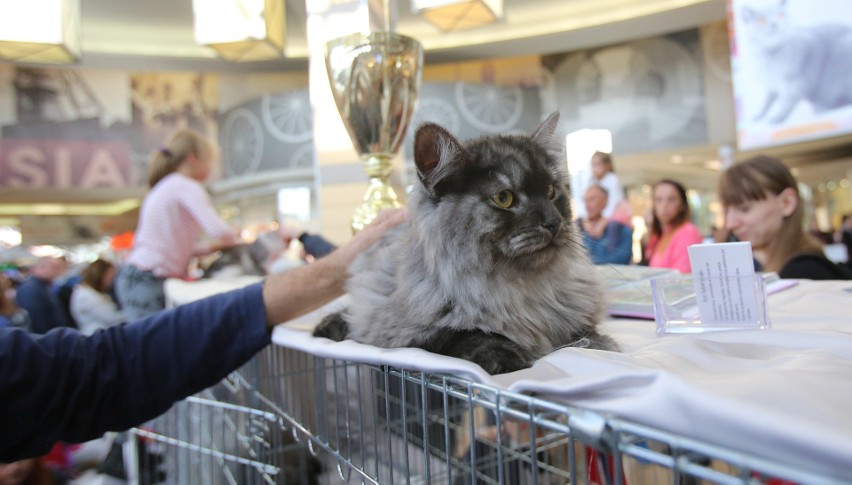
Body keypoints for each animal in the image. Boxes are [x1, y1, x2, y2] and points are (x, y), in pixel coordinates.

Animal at [314, 111, 620, 372]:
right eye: (504, 198)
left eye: (551, 191)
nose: (554, 223)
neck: (520, 293)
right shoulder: (412, 334)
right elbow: (469, 334)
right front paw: (508, 358)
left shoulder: (576, 321)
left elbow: (588, 338)